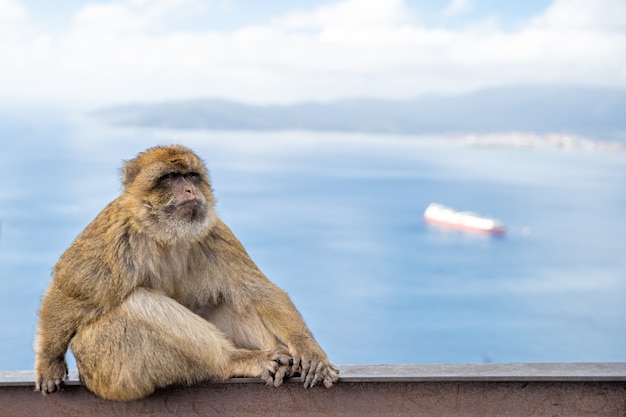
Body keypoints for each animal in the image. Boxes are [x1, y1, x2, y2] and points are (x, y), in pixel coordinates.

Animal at [34, 145, 336, 400]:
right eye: (170, 177)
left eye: (191, 175)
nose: (191, 189)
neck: (165, 233)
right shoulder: (117, 232)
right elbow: (72, 289)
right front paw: (48, 362)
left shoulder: (214, 232)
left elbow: (257, 290)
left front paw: (307, 348)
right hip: (110, 369)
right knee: (136, 303)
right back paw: (235, 360)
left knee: (231, 300)